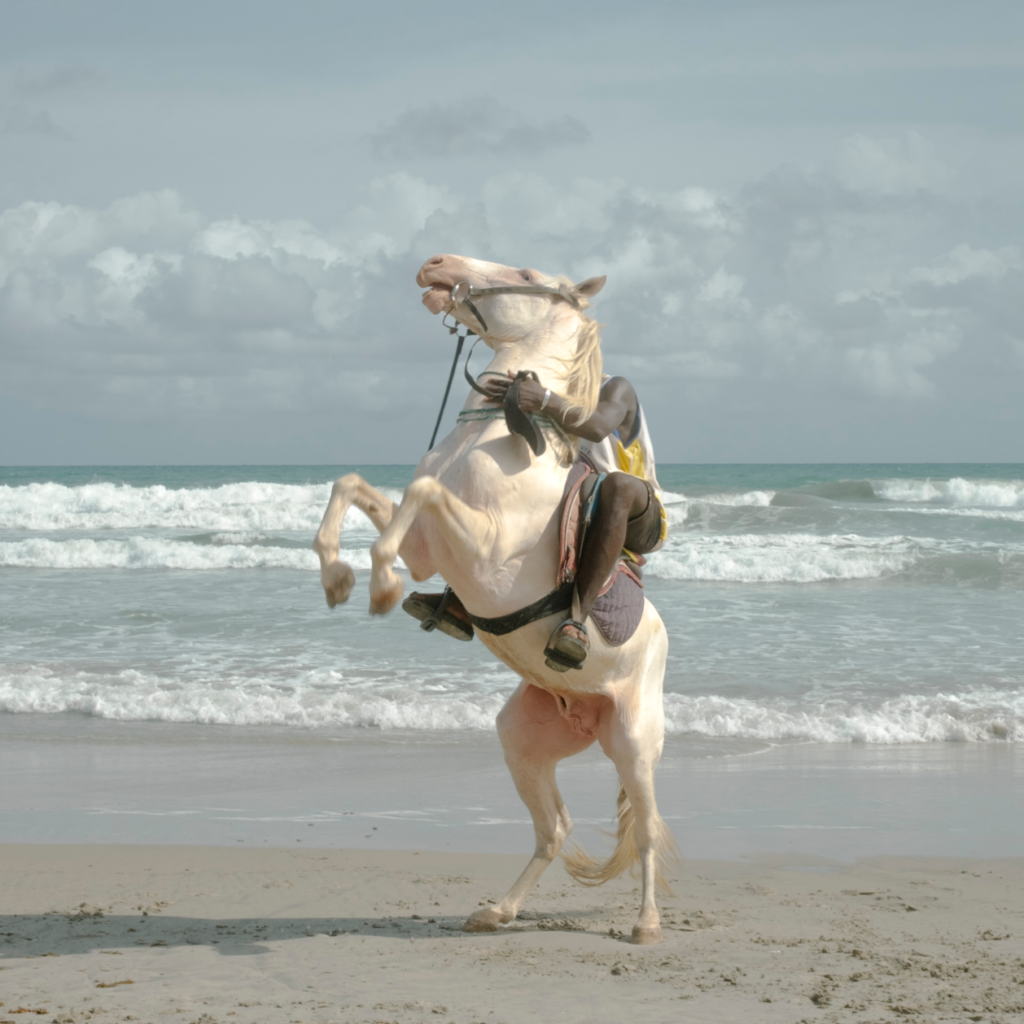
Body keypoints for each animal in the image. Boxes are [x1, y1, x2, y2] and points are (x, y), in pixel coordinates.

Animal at [312, 254, 676, 944]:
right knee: (555, 828)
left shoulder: (486, 548)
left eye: (527, 274)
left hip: (633, 741)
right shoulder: (428, 547)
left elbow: (422, 491)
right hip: (525, 741)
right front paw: (338, 578)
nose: (435, 265)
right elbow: (354, 486)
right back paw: (497, 911)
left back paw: (646, 925)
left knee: (646, 829)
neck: (495, 438)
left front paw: (381, 586)